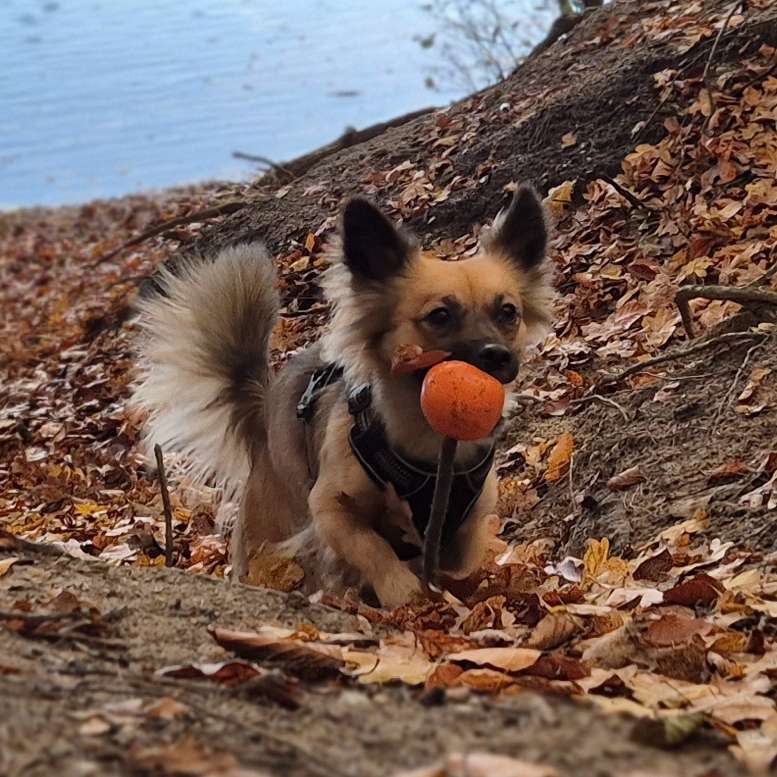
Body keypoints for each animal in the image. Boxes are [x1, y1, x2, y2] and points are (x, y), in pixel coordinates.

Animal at [135, 186, 556, 608]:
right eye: (440, 316)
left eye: (508, 312)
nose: (497, 355)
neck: (432, 450)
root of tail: (265, 409)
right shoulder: (329, 508)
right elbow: (373, 548)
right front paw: (403, 594)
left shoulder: (469, 523)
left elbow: (459, 561)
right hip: (268, 532)